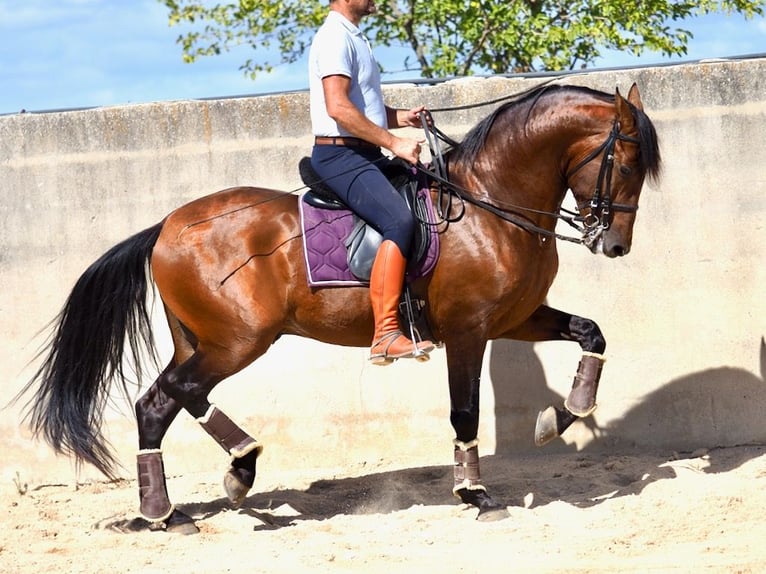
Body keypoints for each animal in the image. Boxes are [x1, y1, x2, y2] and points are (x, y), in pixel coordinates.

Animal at [21, 83, 664, 536]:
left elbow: (592, 334)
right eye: (630, 164)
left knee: (167, 400)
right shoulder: (468, 331)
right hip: (238, 340)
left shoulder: (515, 318)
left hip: (204, 339)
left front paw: (559, 418)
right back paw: (207, 486)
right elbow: (465, 412)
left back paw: (195, 495)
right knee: (167, 397)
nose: (615, 245)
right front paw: (476, 495)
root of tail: (167, 227)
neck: (490, 204)